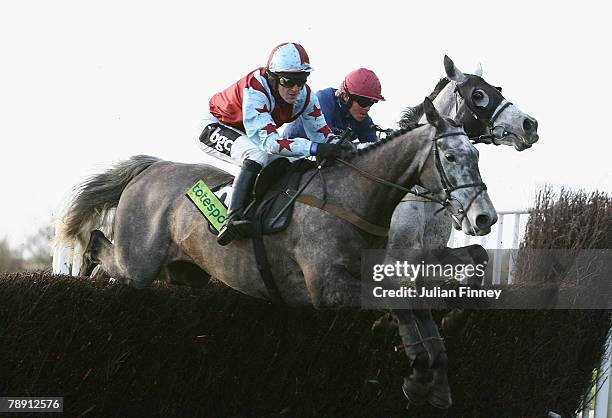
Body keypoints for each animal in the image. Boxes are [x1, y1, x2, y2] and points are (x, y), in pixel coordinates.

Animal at [57, 99, 498, 410]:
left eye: (476, 156)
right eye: (451, 157)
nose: (485, 217)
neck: (354, 198)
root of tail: (151, 167)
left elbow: (416, 310)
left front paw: (432, 380)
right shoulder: (328, 289)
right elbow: (402, 309)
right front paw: (421, 375)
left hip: (184, 273)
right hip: (139, 263)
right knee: (98, 244)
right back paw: (84, 274)